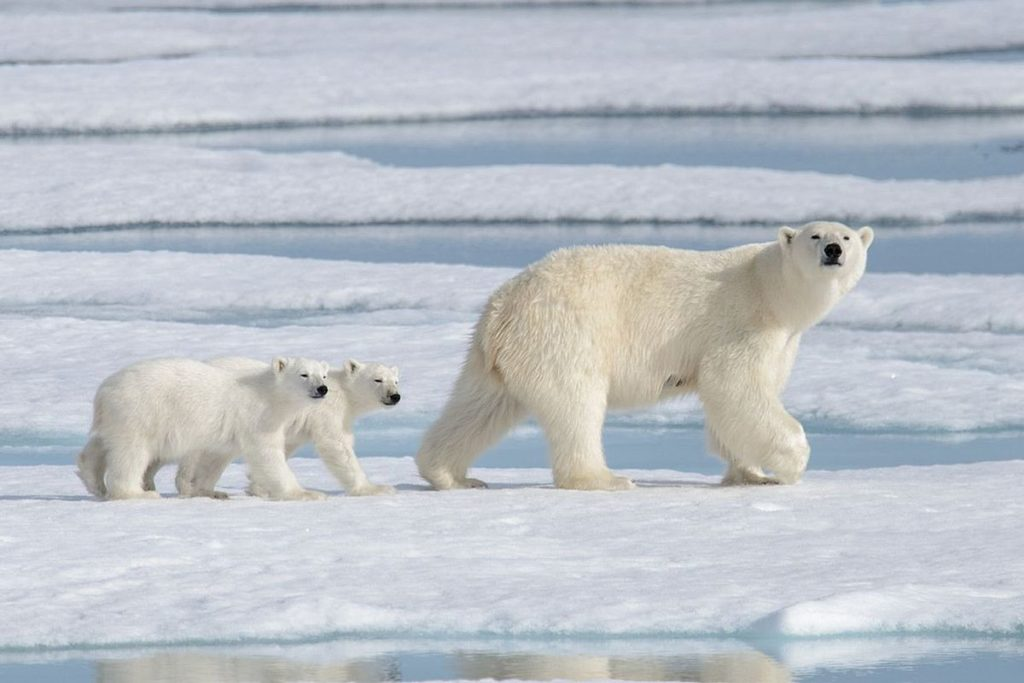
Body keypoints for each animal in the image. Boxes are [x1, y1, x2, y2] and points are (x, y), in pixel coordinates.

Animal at [415, 224, 872, 491]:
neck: (770, 289)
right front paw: (792, 464)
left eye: (847, 236)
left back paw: (451, 475)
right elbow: (734, 386)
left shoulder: (783, 341)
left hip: (495, 357)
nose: (834, 249)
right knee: (576, 405)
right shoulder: (743, 323)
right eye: (815, 236)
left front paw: (750, 475)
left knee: (478, 408)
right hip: (566, 335)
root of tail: (503, 307)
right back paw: (604, 478)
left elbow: (736, 403)